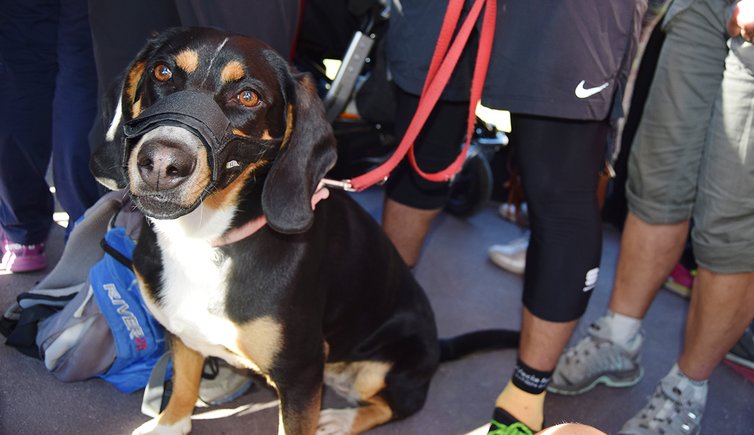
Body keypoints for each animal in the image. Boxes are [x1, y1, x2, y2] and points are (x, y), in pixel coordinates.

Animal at [91, 27, 516, 435]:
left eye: (248, 96)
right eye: (163, 72)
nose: (162, 163)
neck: (205, 238)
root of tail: (437, 347)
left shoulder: (300, 373)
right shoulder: (182, 332)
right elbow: (183, 383)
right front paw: (170, 424)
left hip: (385, 366)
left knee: (394, 405)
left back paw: (342, 420)